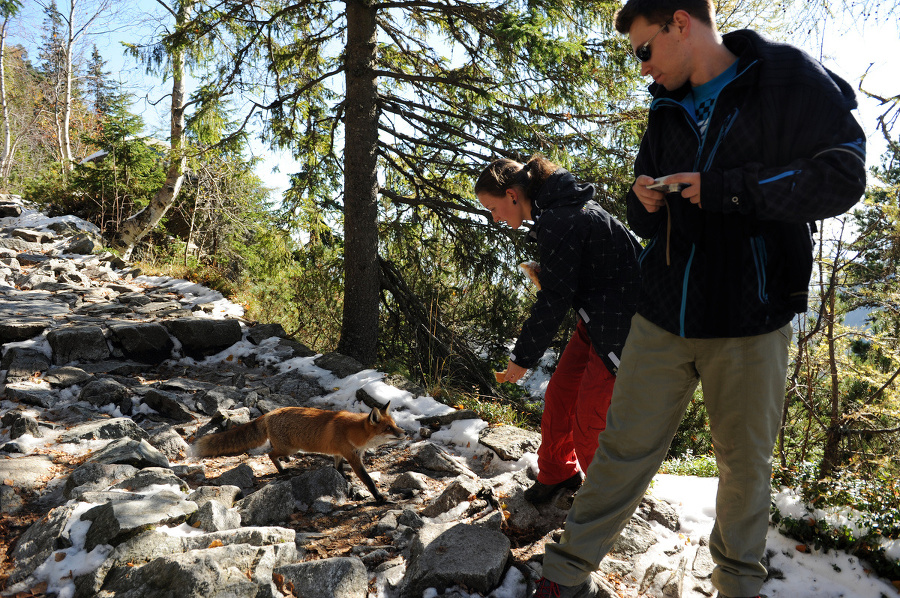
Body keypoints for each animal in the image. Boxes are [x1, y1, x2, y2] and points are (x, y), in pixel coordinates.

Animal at [193, 406, 404, 504]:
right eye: (388, 428)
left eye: (395, 424)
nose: (404, 433)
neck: (354, 432)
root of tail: (269, 413)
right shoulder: (353, 458)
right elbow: (368, 481)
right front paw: (379, 498)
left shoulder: (340, 453)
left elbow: (338, 469)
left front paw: (343, 480)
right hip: (291, 448)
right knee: (270, 454)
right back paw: (282, 470)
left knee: (273, 453)